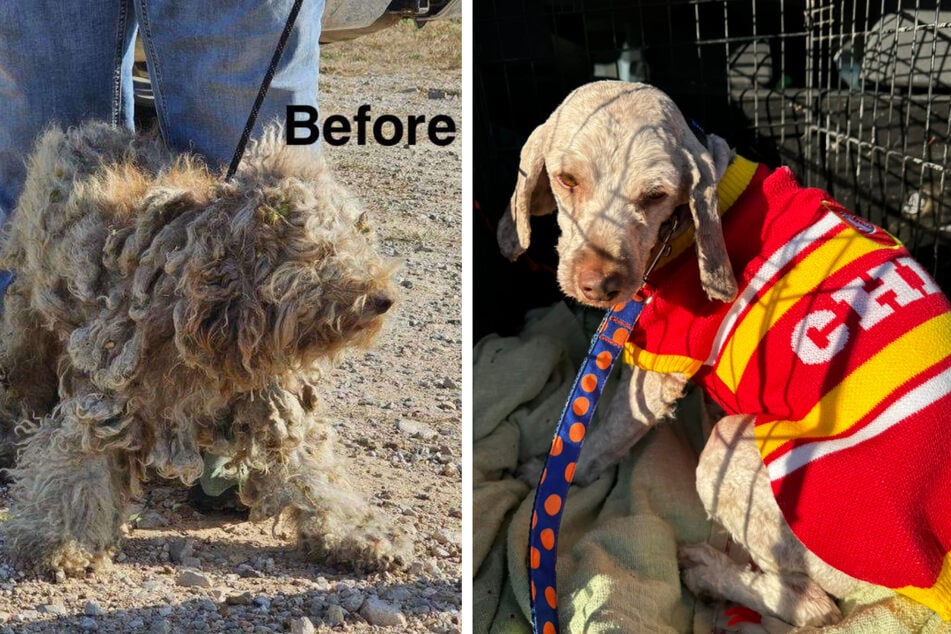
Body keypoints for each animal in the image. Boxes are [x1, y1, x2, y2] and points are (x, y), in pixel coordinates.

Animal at [0, 121, 410, 576]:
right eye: (322, 250)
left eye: (357, 236)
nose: (383, 299)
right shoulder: (109, 390)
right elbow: (80, 466)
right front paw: (60, 540)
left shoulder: (270, 396)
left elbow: (313, 468)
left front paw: (357, 533)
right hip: (28, 319)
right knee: (20, 379)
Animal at [498, 81, 951, 624]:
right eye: (567, 180)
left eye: (655, 196)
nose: (602, 285)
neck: (683, 233)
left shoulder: (663, 364)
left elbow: (600, 436)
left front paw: (545, 473)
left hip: (741, 461)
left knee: (815, 607)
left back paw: (710, 573)